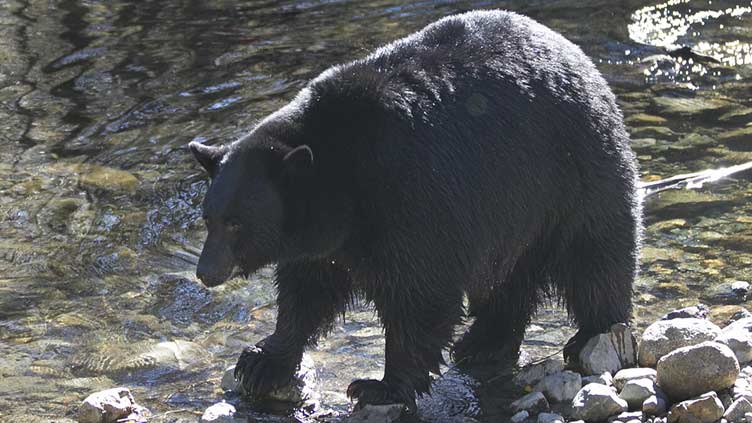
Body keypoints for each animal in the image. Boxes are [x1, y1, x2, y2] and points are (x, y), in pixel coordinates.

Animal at [188, 9, 640, 414]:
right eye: (209, 218)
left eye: (236, 223)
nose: (205, 273)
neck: (342, 177)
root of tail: (578, 57)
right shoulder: (322, 240)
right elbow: (306, 292)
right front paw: (264, 361)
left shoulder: (413, 196)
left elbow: (420, 295)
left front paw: (380, 386)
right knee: (513, 277)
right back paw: (482, 342)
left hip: (574, 174)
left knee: (595, 256)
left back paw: (591, 335)